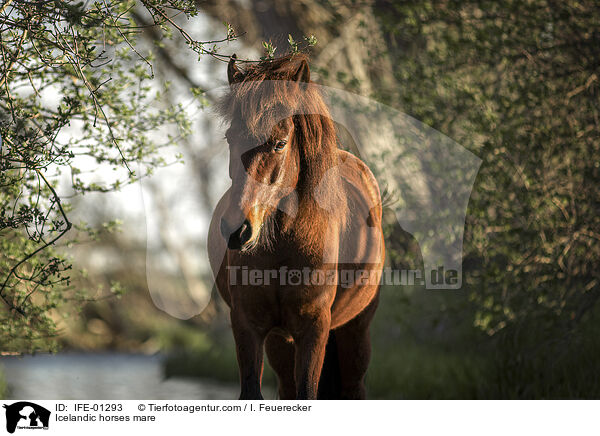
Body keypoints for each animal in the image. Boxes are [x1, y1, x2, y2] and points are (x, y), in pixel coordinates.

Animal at [206, 53, 384, 398]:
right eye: (230, 138)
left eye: (280, 143)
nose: (237, 230)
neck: (284, 246)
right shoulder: (248, 326)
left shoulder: (313, 329)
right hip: (280, 342)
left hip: (355, 332)